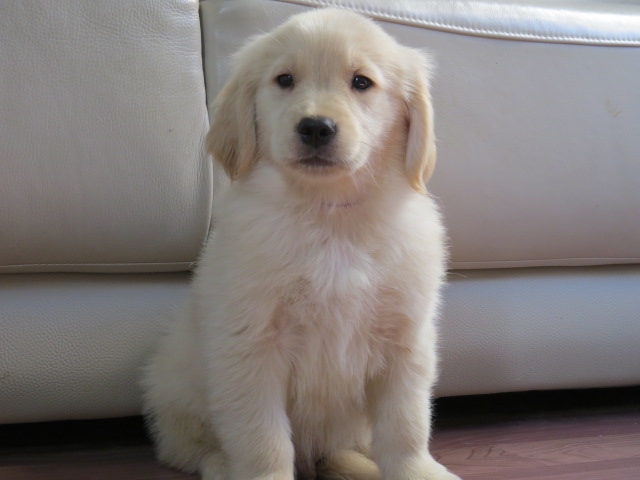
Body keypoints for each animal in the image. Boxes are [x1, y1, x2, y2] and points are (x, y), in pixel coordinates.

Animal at [142, 8, 460, 480]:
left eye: (361, 81)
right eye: (285, 80)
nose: (315, 127)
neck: (329, 214)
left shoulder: (405, 340)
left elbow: (406, 425)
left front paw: (417, 471)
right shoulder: (251, 344)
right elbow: (263, 438)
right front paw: (263, 473)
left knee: (339, 449)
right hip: (175, 387)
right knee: (189, 447)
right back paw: (220, 464)